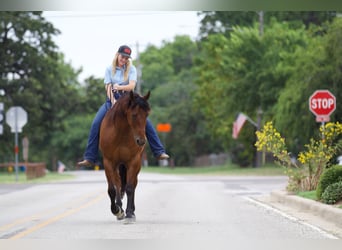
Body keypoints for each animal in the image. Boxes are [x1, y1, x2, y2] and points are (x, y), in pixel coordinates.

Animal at [100, 91, 151, 224]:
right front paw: (117, 211)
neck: (120, 133)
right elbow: (112, 189)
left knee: (133, 185)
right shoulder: (108, 162)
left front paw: (129, 214)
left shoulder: (133, 162)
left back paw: (131, 210)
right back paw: (119, 207)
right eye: (134, 115)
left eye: (147, 115)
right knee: (118, 183)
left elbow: (129, 188)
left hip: (135, 165)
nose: (141, 141)